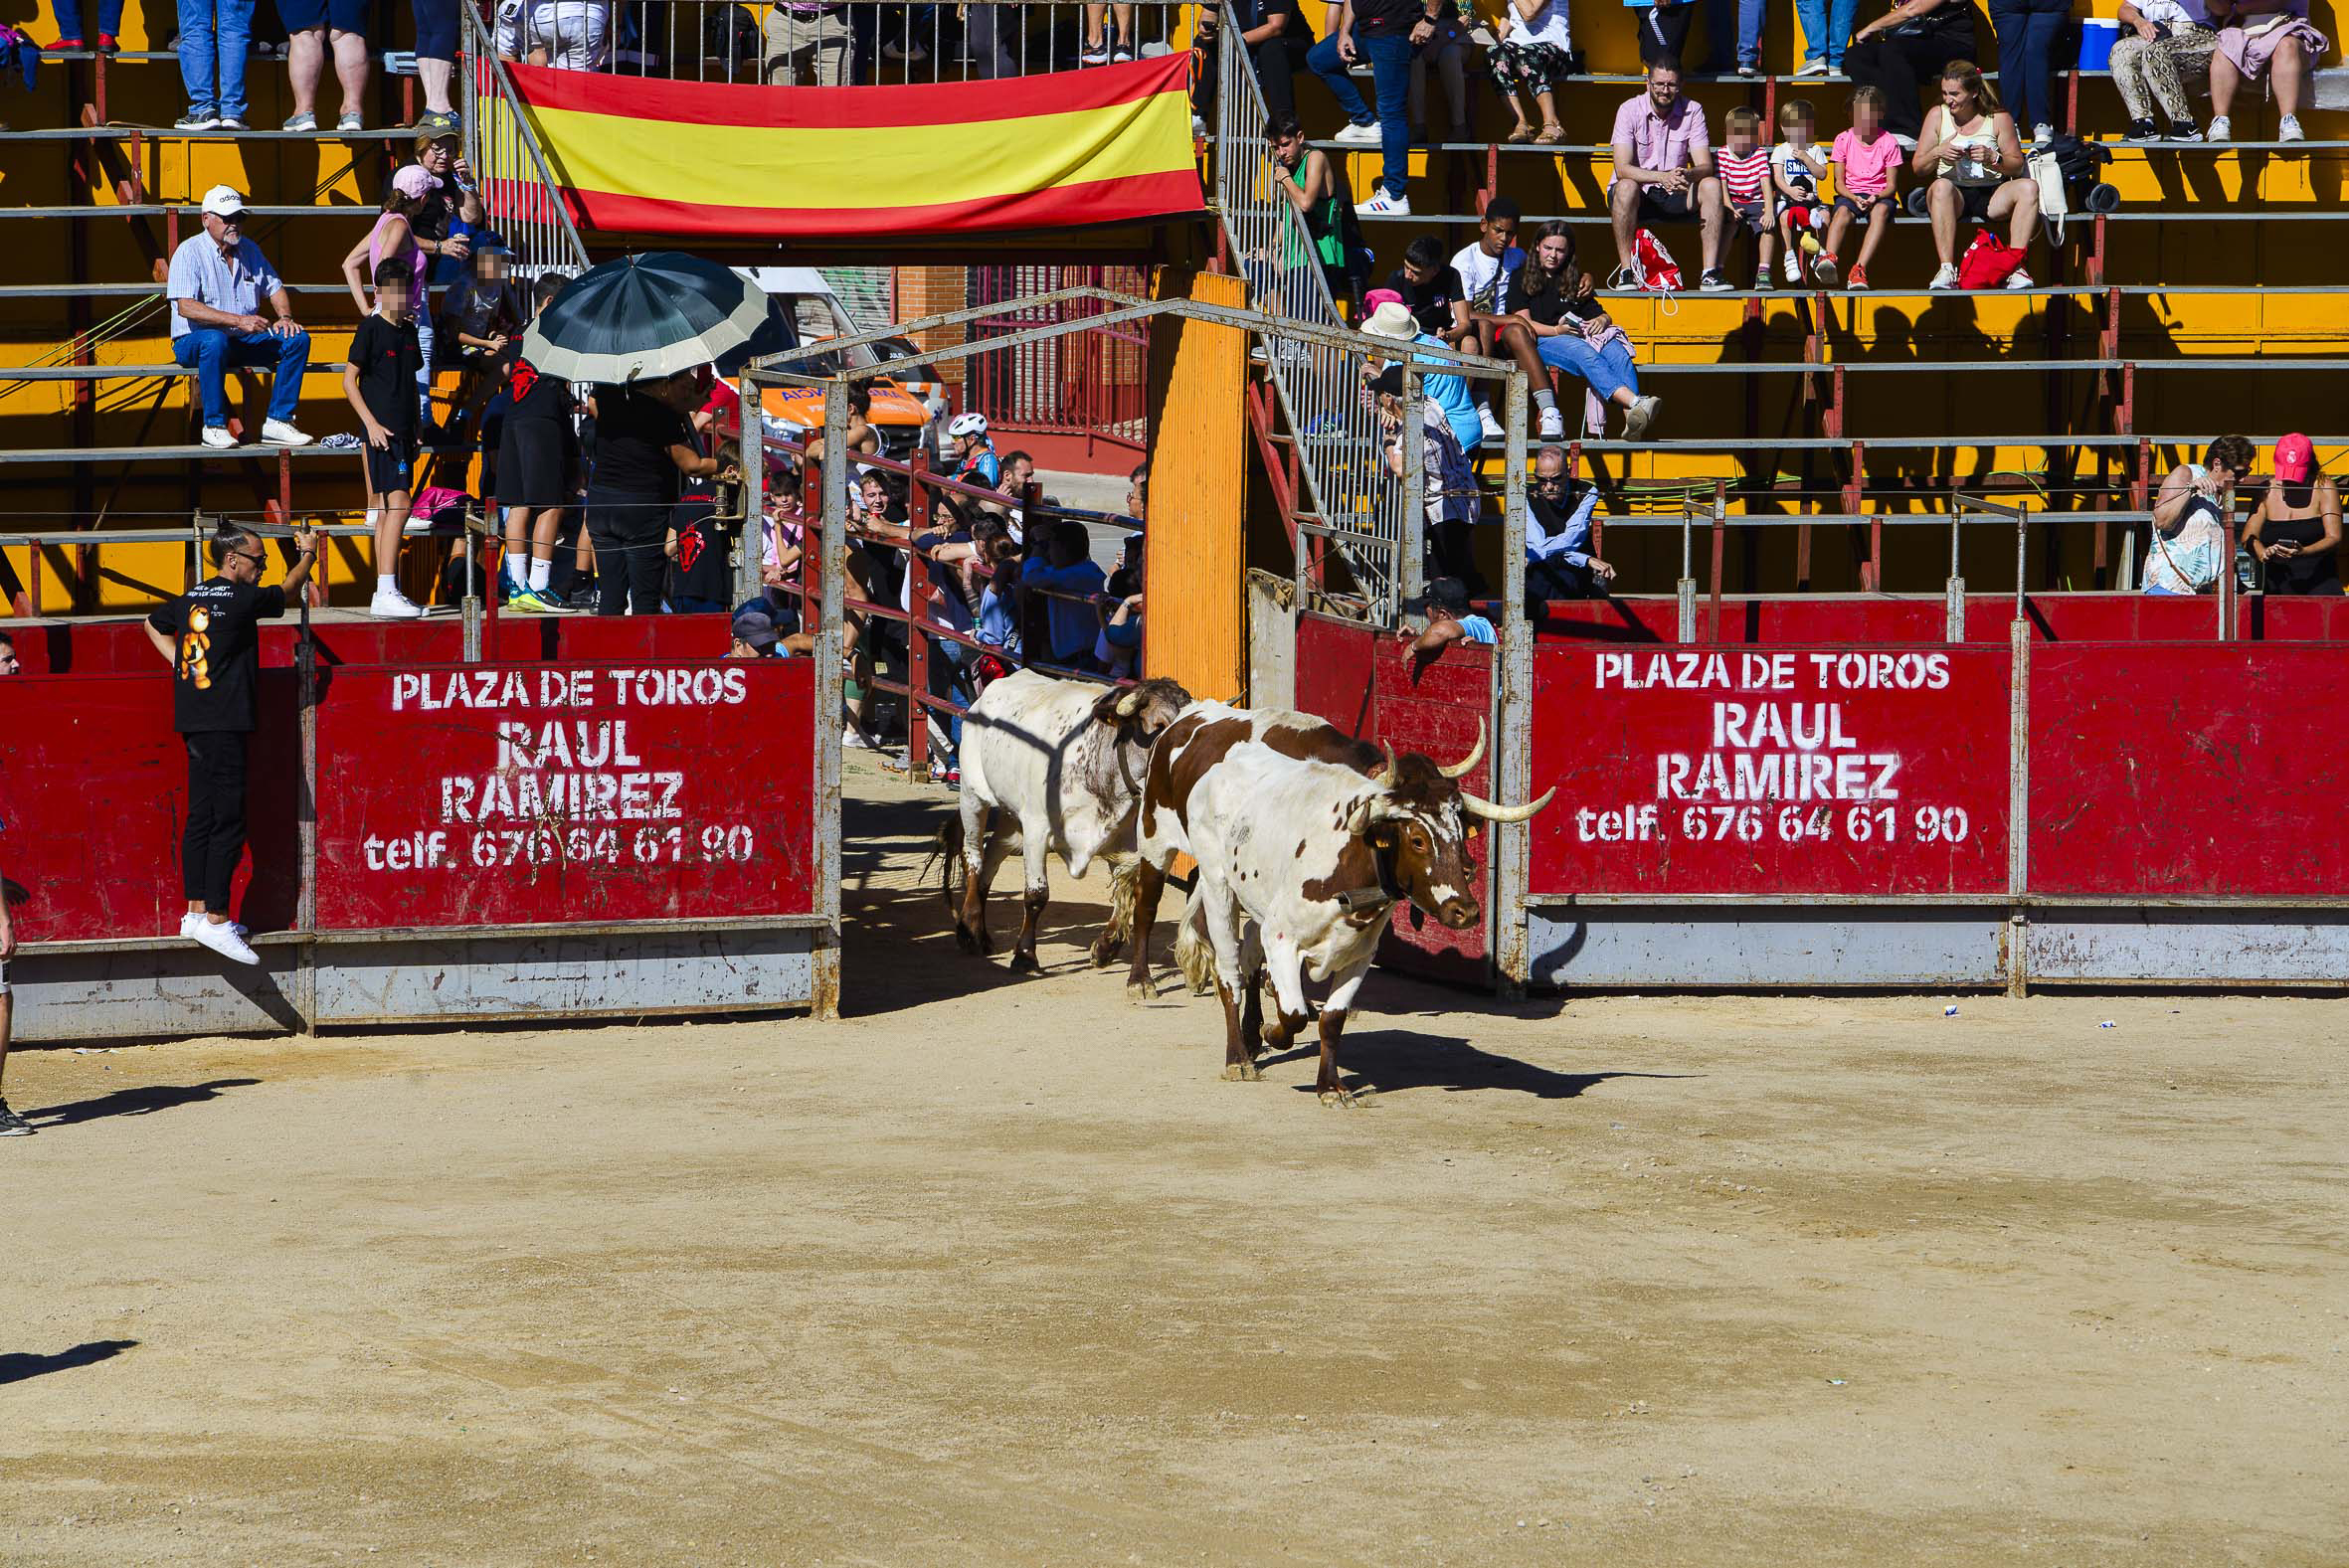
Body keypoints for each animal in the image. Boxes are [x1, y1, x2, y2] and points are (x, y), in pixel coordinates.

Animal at [939, 671, 1192, 971]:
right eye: (1158, 725)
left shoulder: (1123, 837)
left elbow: (1125, 886)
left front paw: (1106, 946)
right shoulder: (1036, 830)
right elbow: (1036, 895)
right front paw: (1025, 954)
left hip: (1011, 815)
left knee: (993, 855)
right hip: (972, 795)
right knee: (974, 858)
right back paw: (970, 931)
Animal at [1127, 704, 1549, 1108]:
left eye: (1461, 827)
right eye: (1416, 839)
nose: (1467, 908)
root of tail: (1189, 717)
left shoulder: (1358, 954)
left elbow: (1332, 1019)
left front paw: (1329, 1086)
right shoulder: (1279, 935)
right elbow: (1292, 1012)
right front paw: (1272, 1031)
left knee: (1244, 955)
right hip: (1179, 857)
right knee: (1194, 943)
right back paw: (1198, 1026)